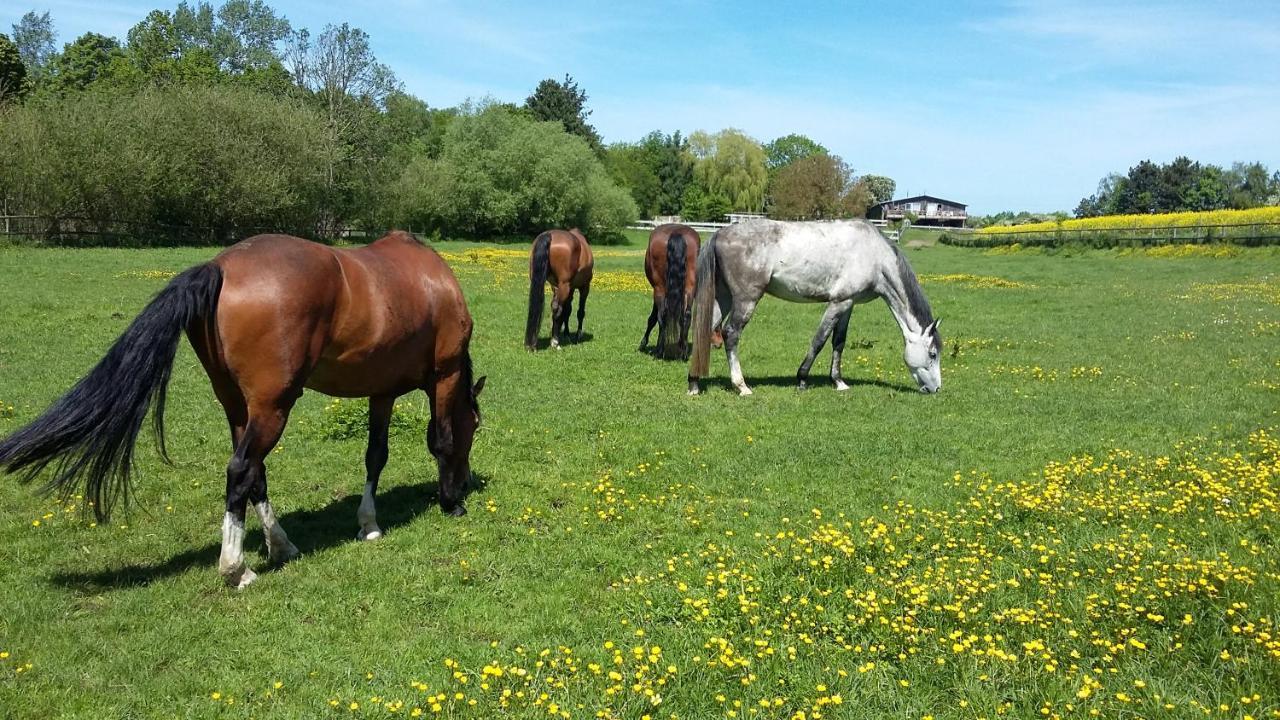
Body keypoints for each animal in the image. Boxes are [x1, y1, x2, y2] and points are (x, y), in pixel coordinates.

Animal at [0, 233, 483, 586]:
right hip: (272, 407)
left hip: (238, 406)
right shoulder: (444, 374)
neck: (430, 282)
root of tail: (220, 267)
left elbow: (375, 456)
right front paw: (449, 503)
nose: (462, 484)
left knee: (254, 475)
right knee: (241, 471)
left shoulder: (381, 392)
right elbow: (439, 440)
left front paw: (369, 524)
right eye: (475, 426)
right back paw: (237, 569)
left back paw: (281, 546)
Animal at [640, 222, 701, 356]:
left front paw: (643, 343)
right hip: (689, 288)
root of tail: (676, 232)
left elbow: (653, 318)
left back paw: (659, 351)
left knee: (662, 315)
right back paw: (683, 352)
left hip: (660, 289)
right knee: (686, 316)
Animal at [691, 220, 942, 397]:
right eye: (933, 353)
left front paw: (839, 382)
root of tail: (720, 233)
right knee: (731, 334)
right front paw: (802, 379)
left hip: (723, 298)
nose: (936, 389)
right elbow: (819, 340)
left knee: (705, 330)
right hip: (745, 300)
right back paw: (741, 386)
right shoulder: (837, 303)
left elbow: (838, 342)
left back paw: (694, 383)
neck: (874, 254)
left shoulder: (848, 304)